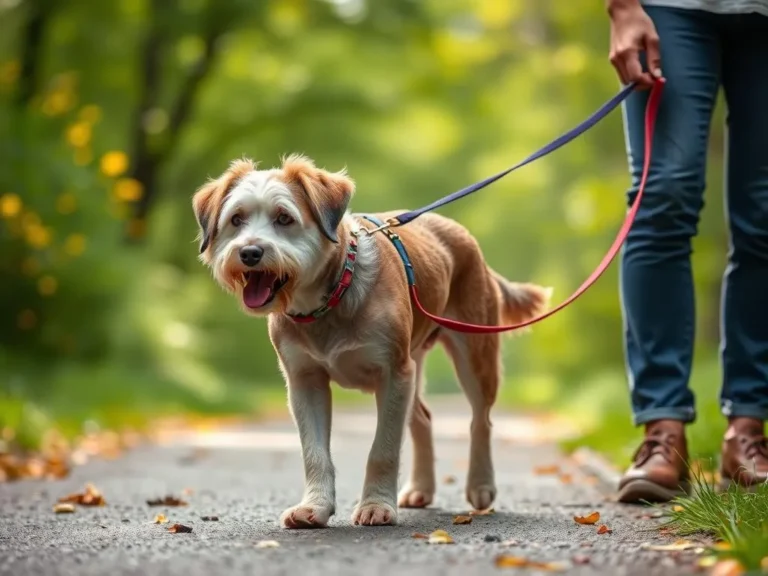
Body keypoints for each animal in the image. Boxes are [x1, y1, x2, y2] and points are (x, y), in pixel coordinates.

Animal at [192, 155, 552, 528]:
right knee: (423, 418)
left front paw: (377, 506)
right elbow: (314, 452)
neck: (331, 298)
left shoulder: (393, 374)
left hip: (474, 355)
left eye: (284, 218)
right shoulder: (305, 380)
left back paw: (481, 485)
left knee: (481, 421)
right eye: (236, 219)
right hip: (415, 363)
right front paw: (314, 506)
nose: (249, 252)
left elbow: (383, 449)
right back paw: (421, 488)